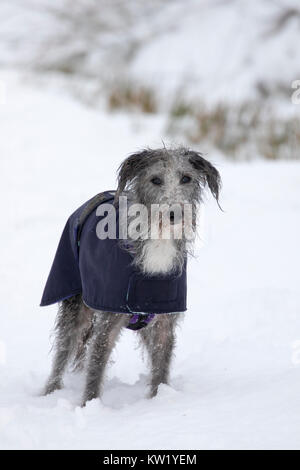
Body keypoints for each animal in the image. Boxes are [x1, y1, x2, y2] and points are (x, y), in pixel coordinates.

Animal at [41, 146, 220, 404]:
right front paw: (90, 406)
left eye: (186, 178)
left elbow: (161, 365)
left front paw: (159, 400)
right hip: (74, 304)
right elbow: (96, 367)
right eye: (155, 180)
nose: (175, 213)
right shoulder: (107, 321)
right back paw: (50, 393)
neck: (158, 241)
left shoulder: (164, 319)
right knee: (63, 352)